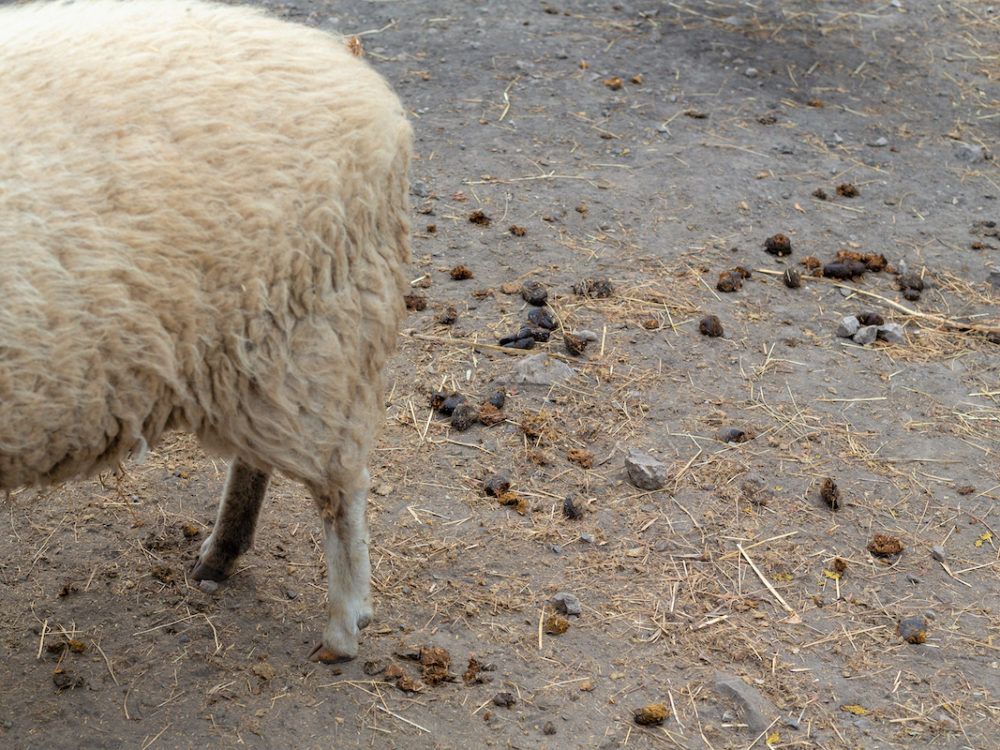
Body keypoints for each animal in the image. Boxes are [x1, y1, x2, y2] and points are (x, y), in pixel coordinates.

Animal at [0, 0, 412, 664]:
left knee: (341, 486)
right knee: (262, 461)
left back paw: (344, 626)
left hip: (318, 329)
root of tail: (350, 71)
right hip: (255, 342)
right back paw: (222, 555)